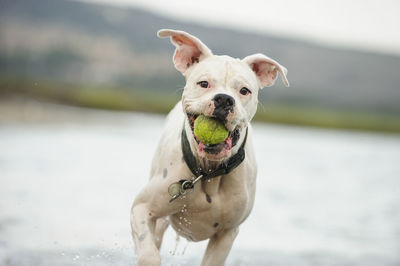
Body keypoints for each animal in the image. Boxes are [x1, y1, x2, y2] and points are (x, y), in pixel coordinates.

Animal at [130, 29, 290, 266]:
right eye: (204, 83)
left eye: (244, 90)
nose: (224, 99)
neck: (208, 172)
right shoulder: (142, 209)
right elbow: (149, 255)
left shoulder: (227, 233)